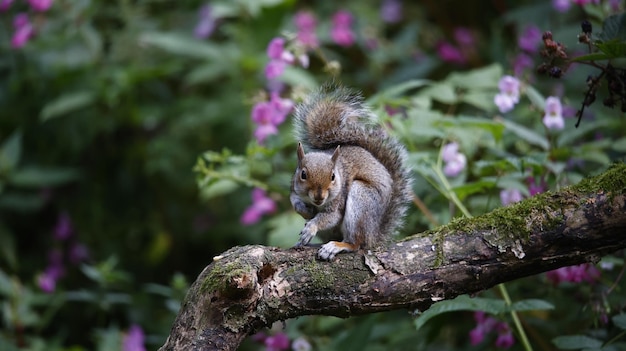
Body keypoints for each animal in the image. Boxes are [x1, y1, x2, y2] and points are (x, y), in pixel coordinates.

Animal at [290, 86, 412, 262]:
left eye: (333, 176)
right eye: (303, 175)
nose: (319, 197)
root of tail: (374, 235)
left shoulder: (337, 202)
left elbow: (330, 217)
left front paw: (311, 226)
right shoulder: (294, 190)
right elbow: (295, 202)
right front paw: (305, 211)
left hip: (361, 199)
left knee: (357, 244)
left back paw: (337, 246)